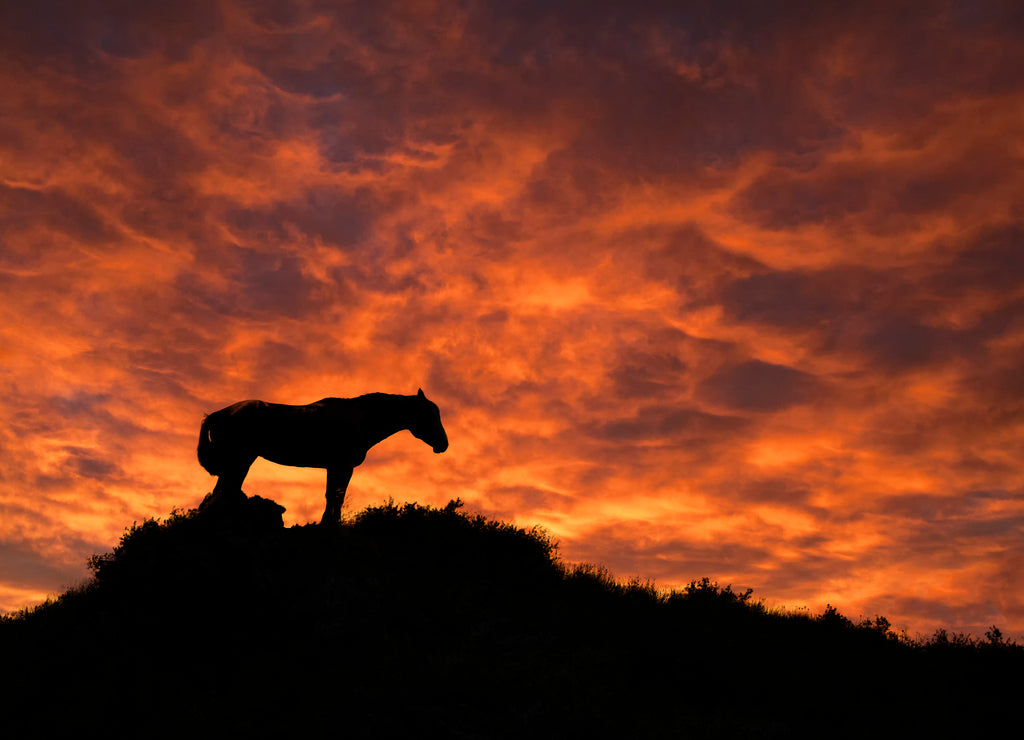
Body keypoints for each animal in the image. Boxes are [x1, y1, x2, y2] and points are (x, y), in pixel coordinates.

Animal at [197, 389, 448, 524]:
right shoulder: (343, 466)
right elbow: (336, 496)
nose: (443, 445)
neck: (361, 419)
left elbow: (331, 495)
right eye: (430, 414)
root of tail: (220, 413)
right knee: (221, 493)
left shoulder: (334, 467)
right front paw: (329, 524)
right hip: (239, 460)